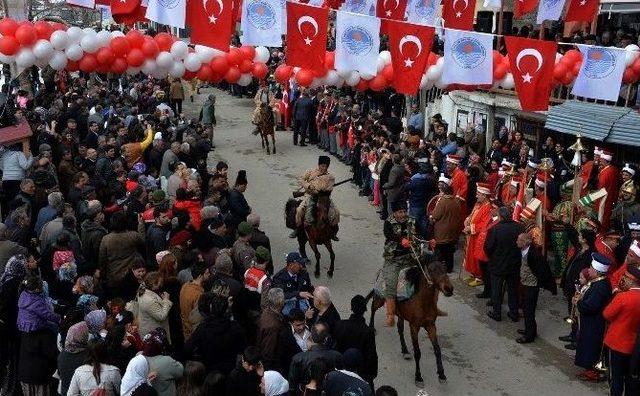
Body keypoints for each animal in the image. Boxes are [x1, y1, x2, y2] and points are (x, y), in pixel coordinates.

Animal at [368, 256, 452, 386]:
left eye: (445, 268)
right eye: (431, 270)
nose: (449, 289)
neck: (423, 302)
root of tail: (381, 271)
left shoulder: (431, 325)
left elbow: (437, 349)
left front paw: (442, 374)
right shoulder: (414, 326)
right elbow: (417, 352)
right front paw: (418, 377)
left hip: (400, 314)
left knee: (400, 328)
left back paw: (405, 350)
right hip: (380, 298)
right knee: (373, 308)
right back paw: (372, 328)